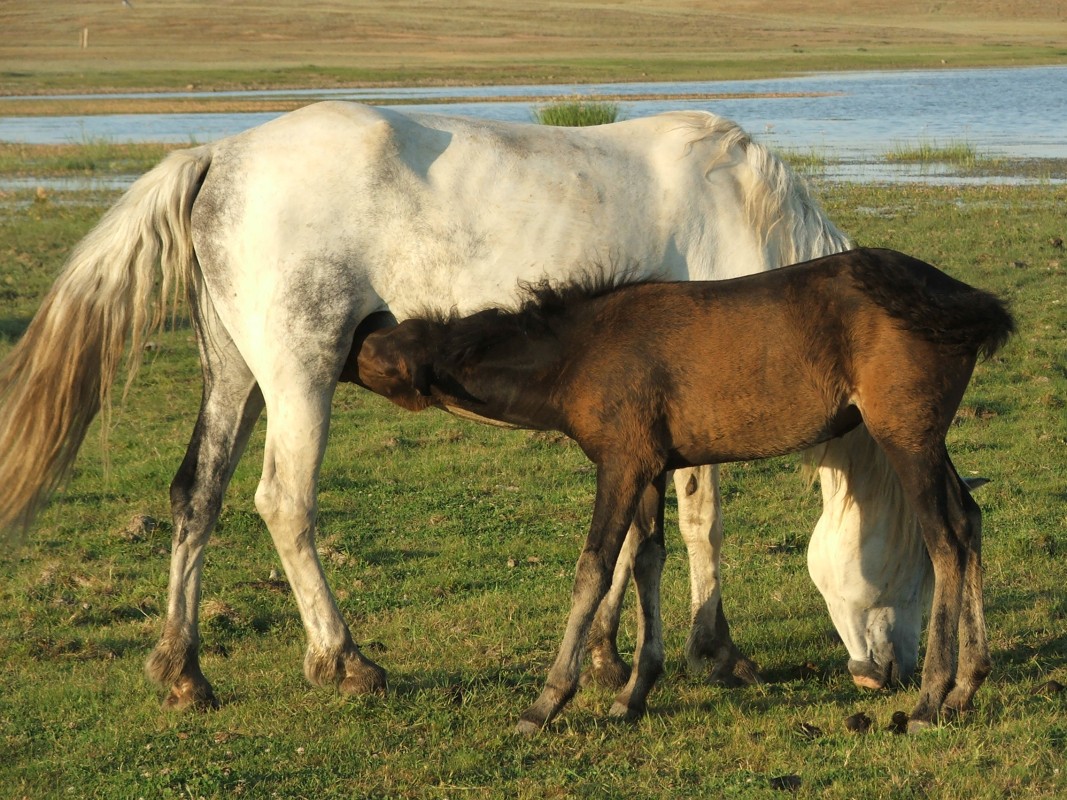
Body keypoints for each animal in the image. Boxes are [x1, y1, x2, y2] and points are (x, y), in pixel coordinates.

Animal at [0, 103, 926, 712]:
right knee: (283, 503)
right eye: (913, 562)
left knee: (198, 498)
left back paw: (183, 670)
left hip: (235, 376)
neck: (744, 219)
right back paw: (344, 661)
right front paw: (717, 652)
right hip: (299, 378)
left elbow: (636, 540)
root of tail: (219, 155)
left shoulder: (639, 430)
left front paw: (604, 655)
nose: (898, 671)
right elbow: (699, 522)